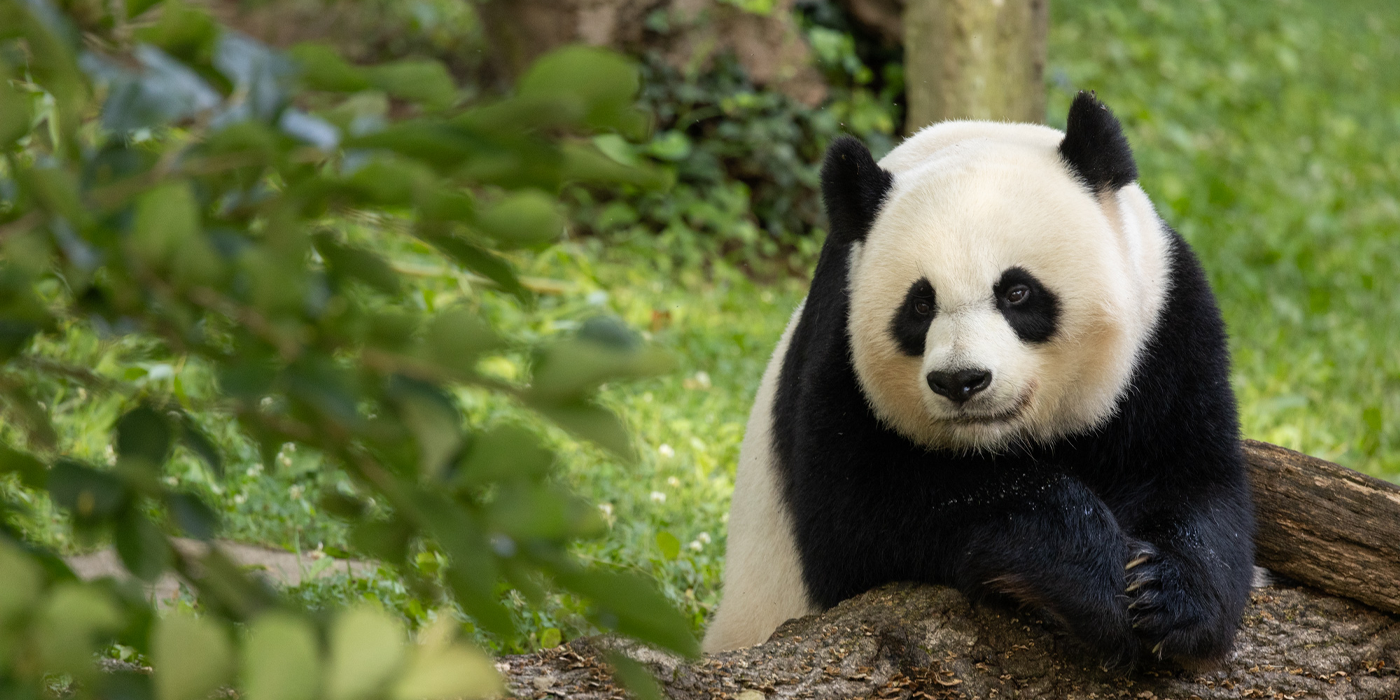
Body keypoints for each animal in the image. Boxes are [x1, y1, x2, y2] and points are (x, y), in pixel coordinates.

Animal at [705, 91, 1254, 666]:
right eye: (920, 305)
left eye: (1017, 292)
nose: (960, 380)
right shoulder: (839, 354)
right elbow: (861, 517)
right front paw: (1095, 578)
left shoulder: (1167, 328)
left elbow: (1192, 477)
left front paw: (1166, 598)